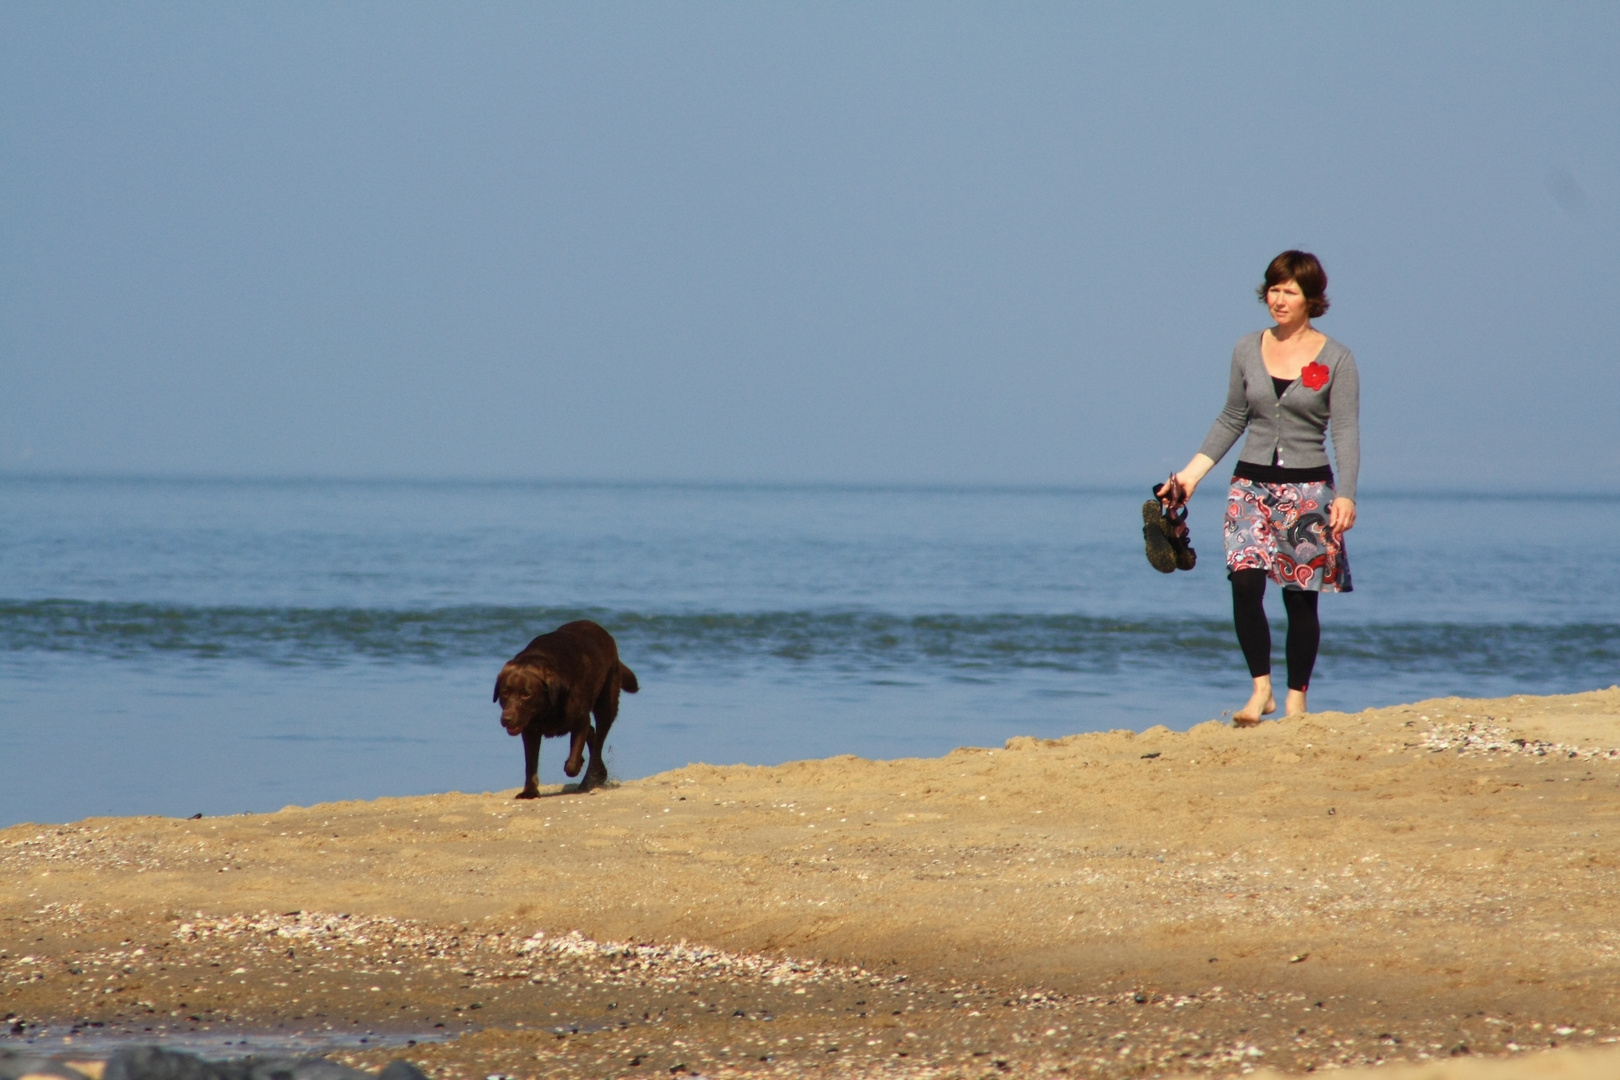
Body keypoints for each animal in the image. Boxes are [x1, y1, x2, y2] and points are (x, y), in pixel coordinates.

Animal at [492, 621, 638, 799]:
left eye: (526, 694)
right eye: (505, 692)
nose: (507, 719)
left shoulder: (580, 720)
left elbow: (572, 764)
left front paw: (578, 763)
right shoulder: (530, 730)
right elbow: (530, 763)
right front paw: (529, 792)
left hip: (607, 704)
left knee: (598, 743)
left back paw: (590, 779)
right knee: (593, 735)